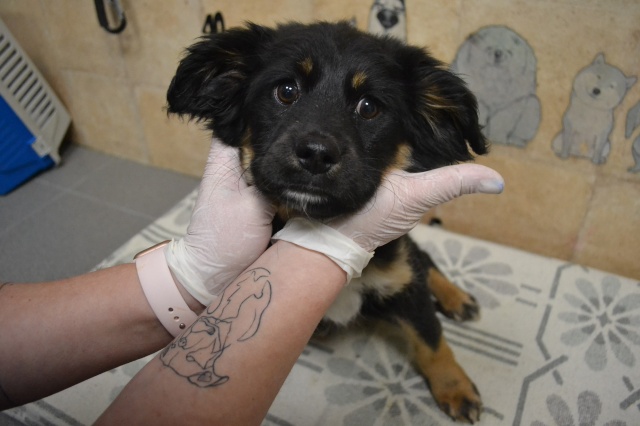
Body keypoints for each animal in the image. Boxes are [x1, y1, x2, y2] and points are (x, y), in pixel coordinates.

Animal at [167, 22, 489, 423]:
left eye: (369, 107)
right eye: (286, 91)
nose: (316, 155)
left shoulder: (403, 281)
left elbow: (430, 337)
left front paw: (455, 387)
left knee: (424, 260)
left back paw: (457, 298)